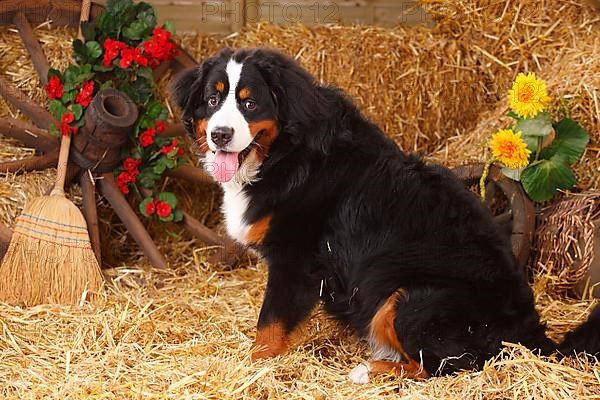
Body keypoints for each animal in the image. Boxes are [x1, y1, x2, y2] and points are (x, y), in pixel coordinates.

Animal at [170, 48, 600, 382]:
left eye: (250, 103)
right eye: (213, 100)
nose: (220, 135)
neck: (288, 156)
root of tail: (530, 334)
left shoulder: (296, 261)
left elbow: (269, 325)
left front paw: (254, 366)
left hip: (409, 298)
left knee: (445, 366)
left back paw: (369, 369)